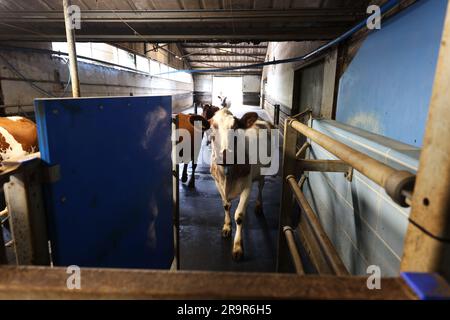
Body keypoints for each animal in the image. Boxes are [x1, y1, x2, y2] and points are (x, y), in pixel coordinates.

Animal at [207, 107, 274, 260]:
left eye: (235, 127)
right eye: (213, 126)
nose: (224, 155)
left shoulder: (247, 187)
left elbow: (239, 216)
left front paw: (238, 247)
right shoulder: (218, 184)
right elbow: (226, 206)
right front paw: (226, 227)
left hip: (262, 172)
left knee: (260, 187)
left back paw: (258, 206)